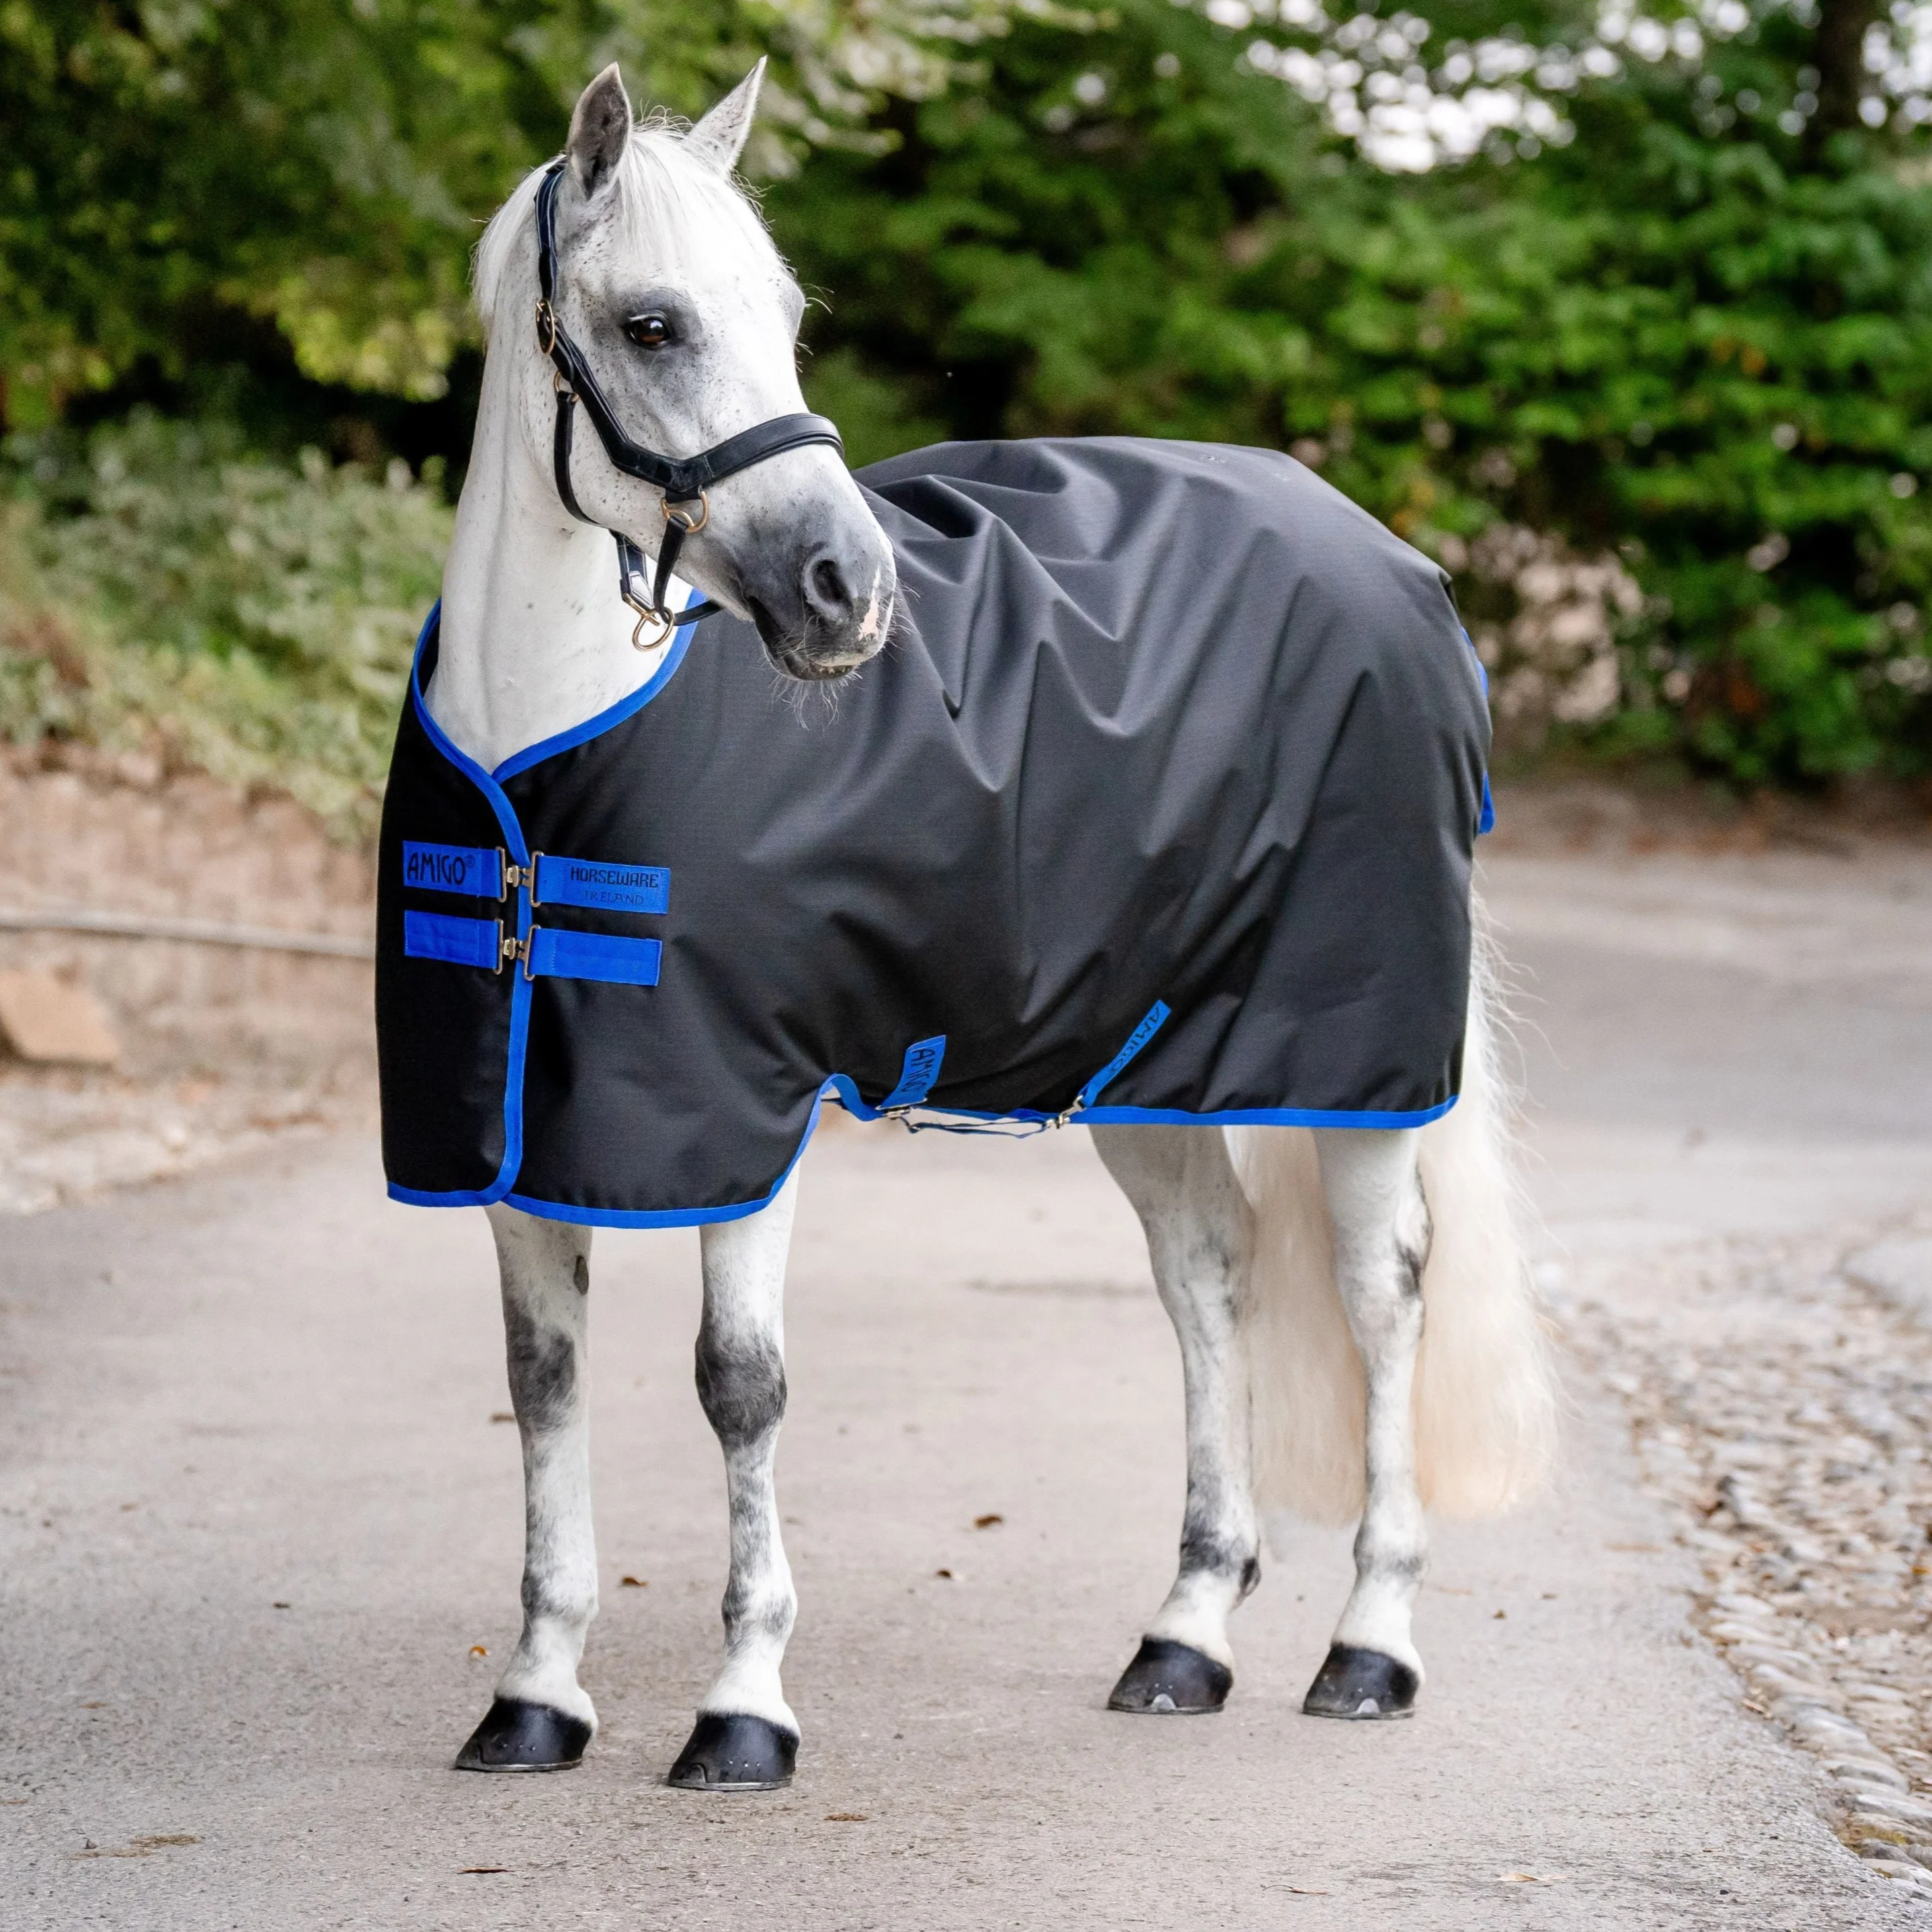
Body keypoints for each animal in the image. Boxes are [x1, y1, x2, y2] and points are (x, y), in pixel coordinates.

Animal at [390, 60, 1557, 1790]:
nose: (847, 590)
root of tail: (1395, 563)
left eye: (787, 314)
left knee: (1380, 1292)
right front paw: (535, 1694)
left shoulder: (749, 1118)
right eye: (654, 323)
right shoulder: (520, 1134)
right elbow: (544, 1387)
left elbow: (739, 1386)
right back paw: (1184, 1636)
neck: (547, 761)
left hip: (1354, 1065)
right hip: (1151, 1065)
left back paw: (1369, 1644)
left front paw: (744, 1707)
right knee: (1207, 1275)